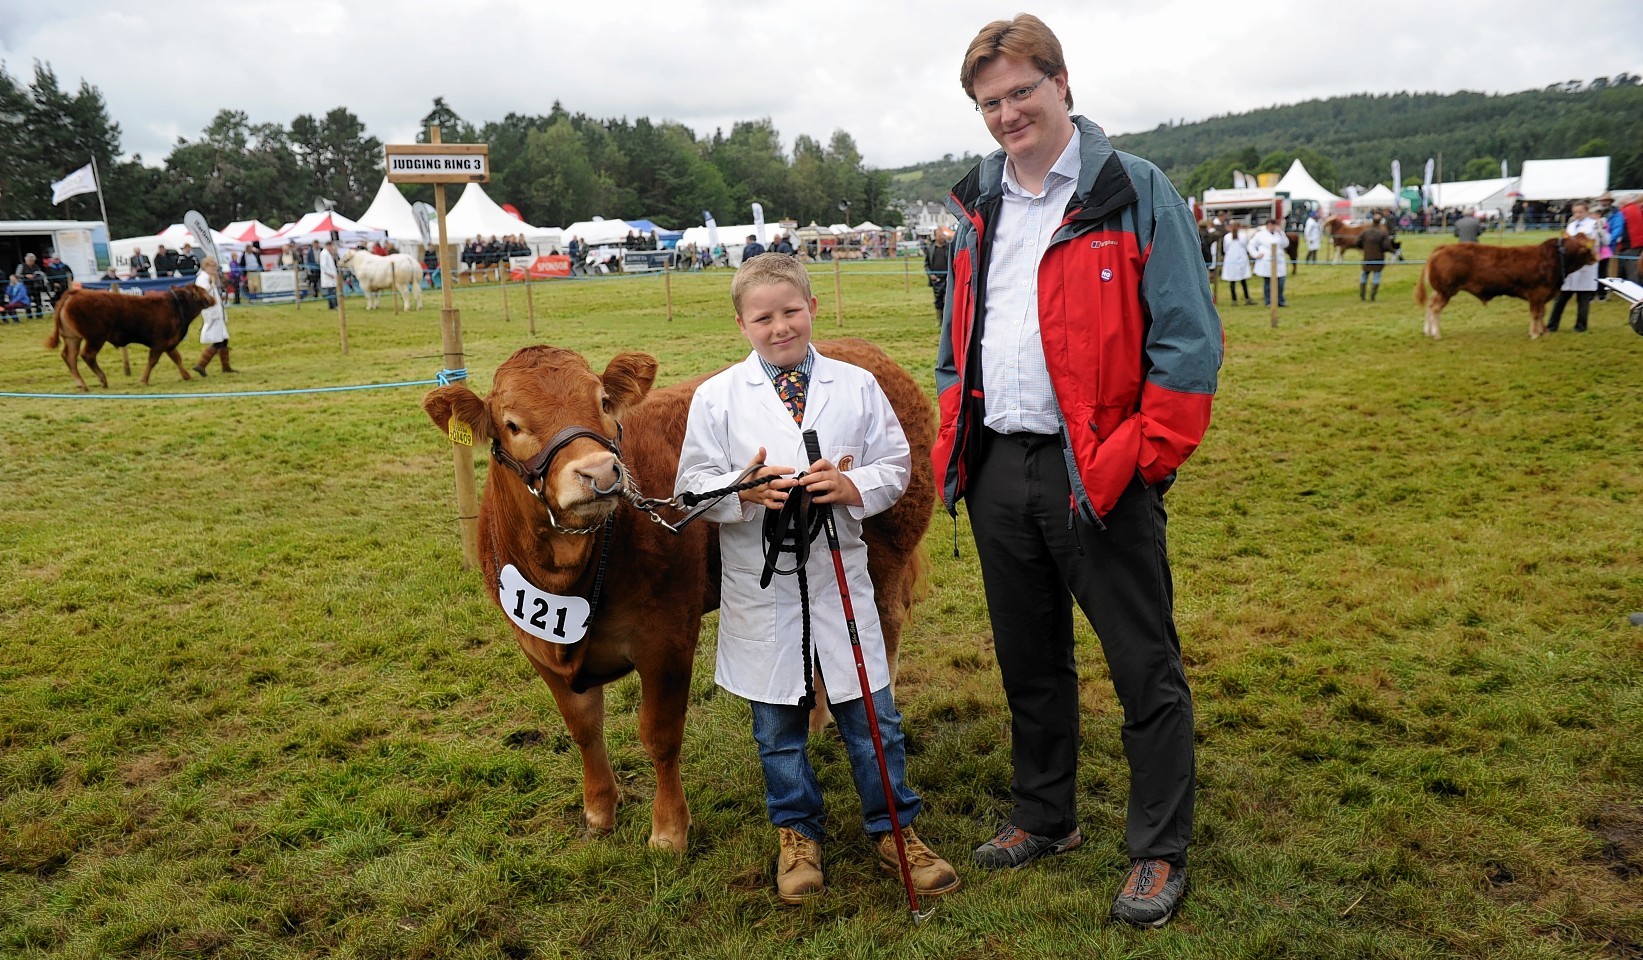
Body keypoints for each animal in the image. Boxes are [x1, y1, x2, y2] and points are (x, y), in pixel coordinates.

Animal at [46, 282, 218, 391]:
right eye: (204, 291)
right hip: (95, 337)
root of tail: (75, 293)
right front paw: (144, 380)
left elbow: (177, 359)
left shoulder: (169, 344)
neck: (176, 306)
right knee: (87, 355)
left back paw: (82, 384)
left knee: (69, 357)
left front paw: (187, 376)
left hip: (72, 338)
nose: (214, 299)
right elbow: (153, 361)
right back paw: (102, 379)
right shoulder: (159, 343)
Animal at [420, 336, 939, 848]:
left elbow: (660, 733)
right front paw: (599, 810)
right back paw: (814, 721)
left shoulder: (666, 636)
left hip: (888, 542)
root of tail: (865, 350)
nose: (598, 472)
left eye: (602, 402)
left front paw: (669, 830)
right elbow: (584, 729)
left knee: (883, 625)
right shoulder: (537, 645)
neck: (570, 572)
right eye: (511, 424)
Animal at [1419, 235, 1596, 338]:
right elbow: (1535, 314)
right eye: (1587, 249)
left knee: (1430, 305)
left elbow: (1541, 313)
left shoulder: (1544, 295)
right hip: (1445, 290)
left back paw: (1428, 331)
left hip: (1439, 290)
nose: (1596, 257)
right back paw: (1436, 334)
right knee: (1435, 308)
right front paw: (1534, 334)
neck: (1553, 259)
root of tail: (1444, 247)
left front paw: (1542, 332)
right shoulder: (1537, 293)